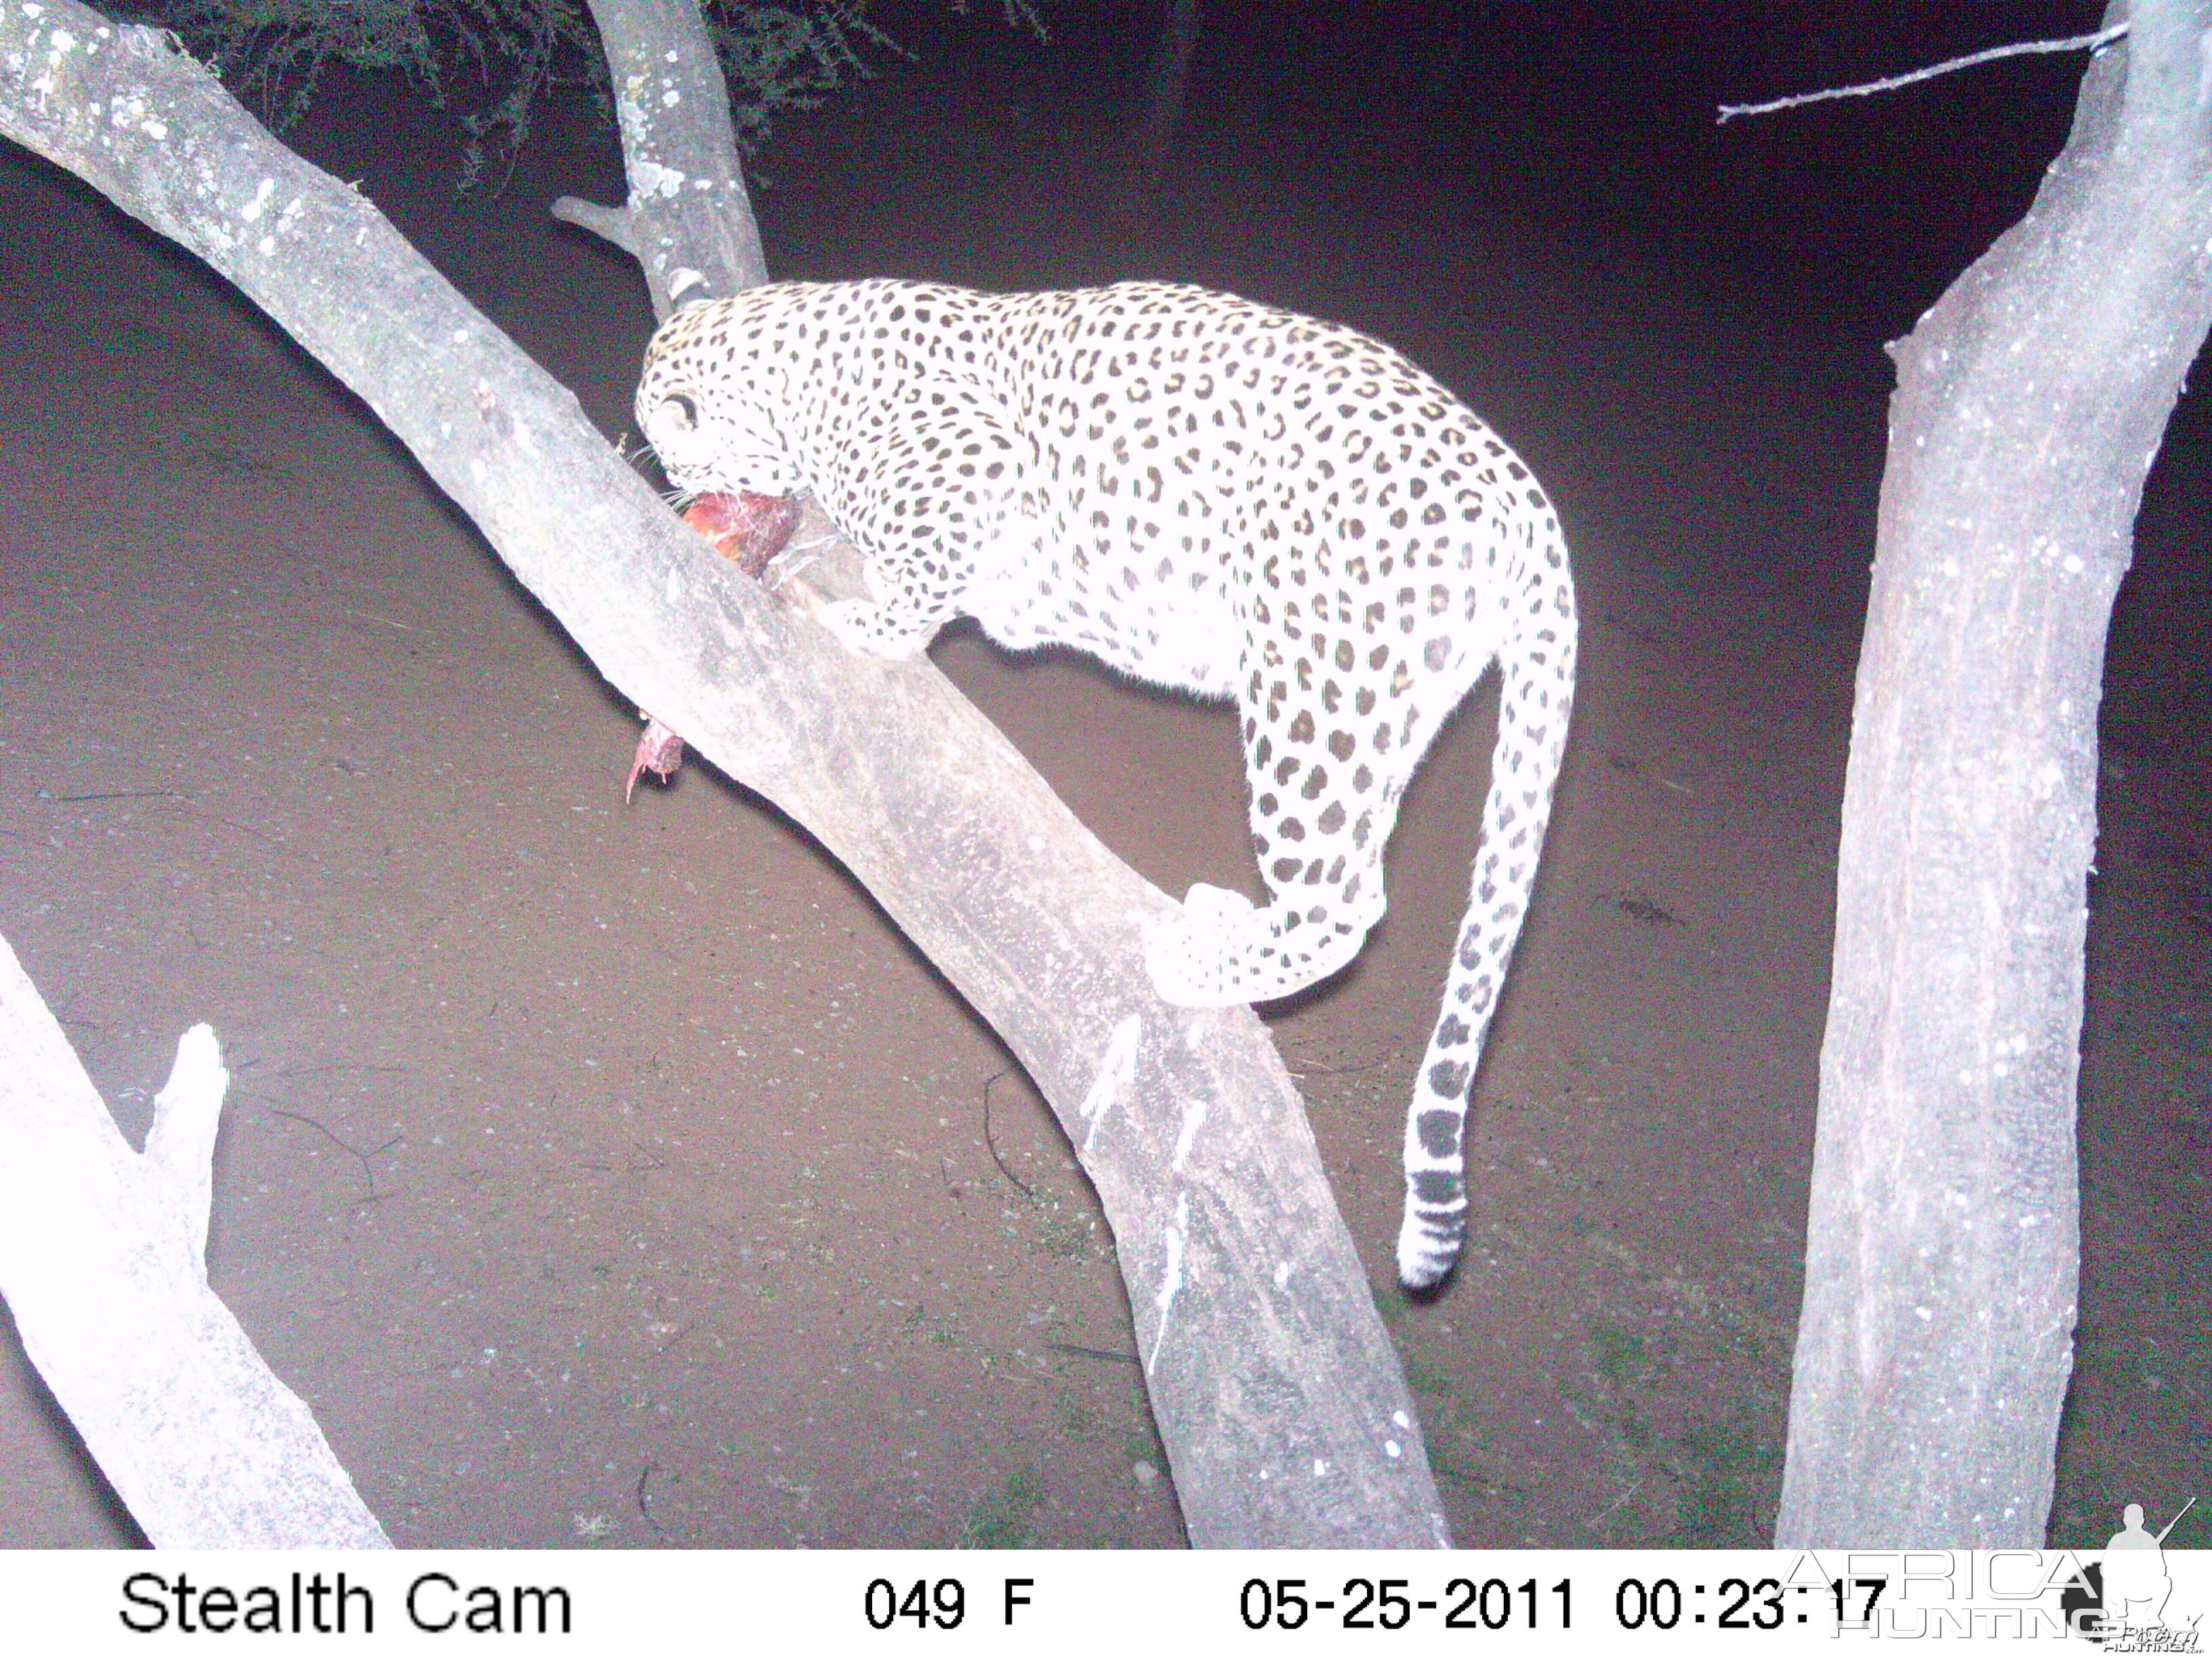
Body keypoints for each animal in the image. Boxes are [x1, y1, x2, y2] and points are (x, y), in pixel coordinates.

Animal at [637, 283, 1574, 1300]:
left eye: (676, 446)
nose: (678, 491)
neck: (800, 380)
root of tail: (1524, 497)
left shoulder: (969, 465)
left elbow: (919, 582)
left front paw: (868, 622)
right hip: (1394, 704)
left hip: (1314, 684)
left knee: (1346, 901)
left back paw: (1199, 961)